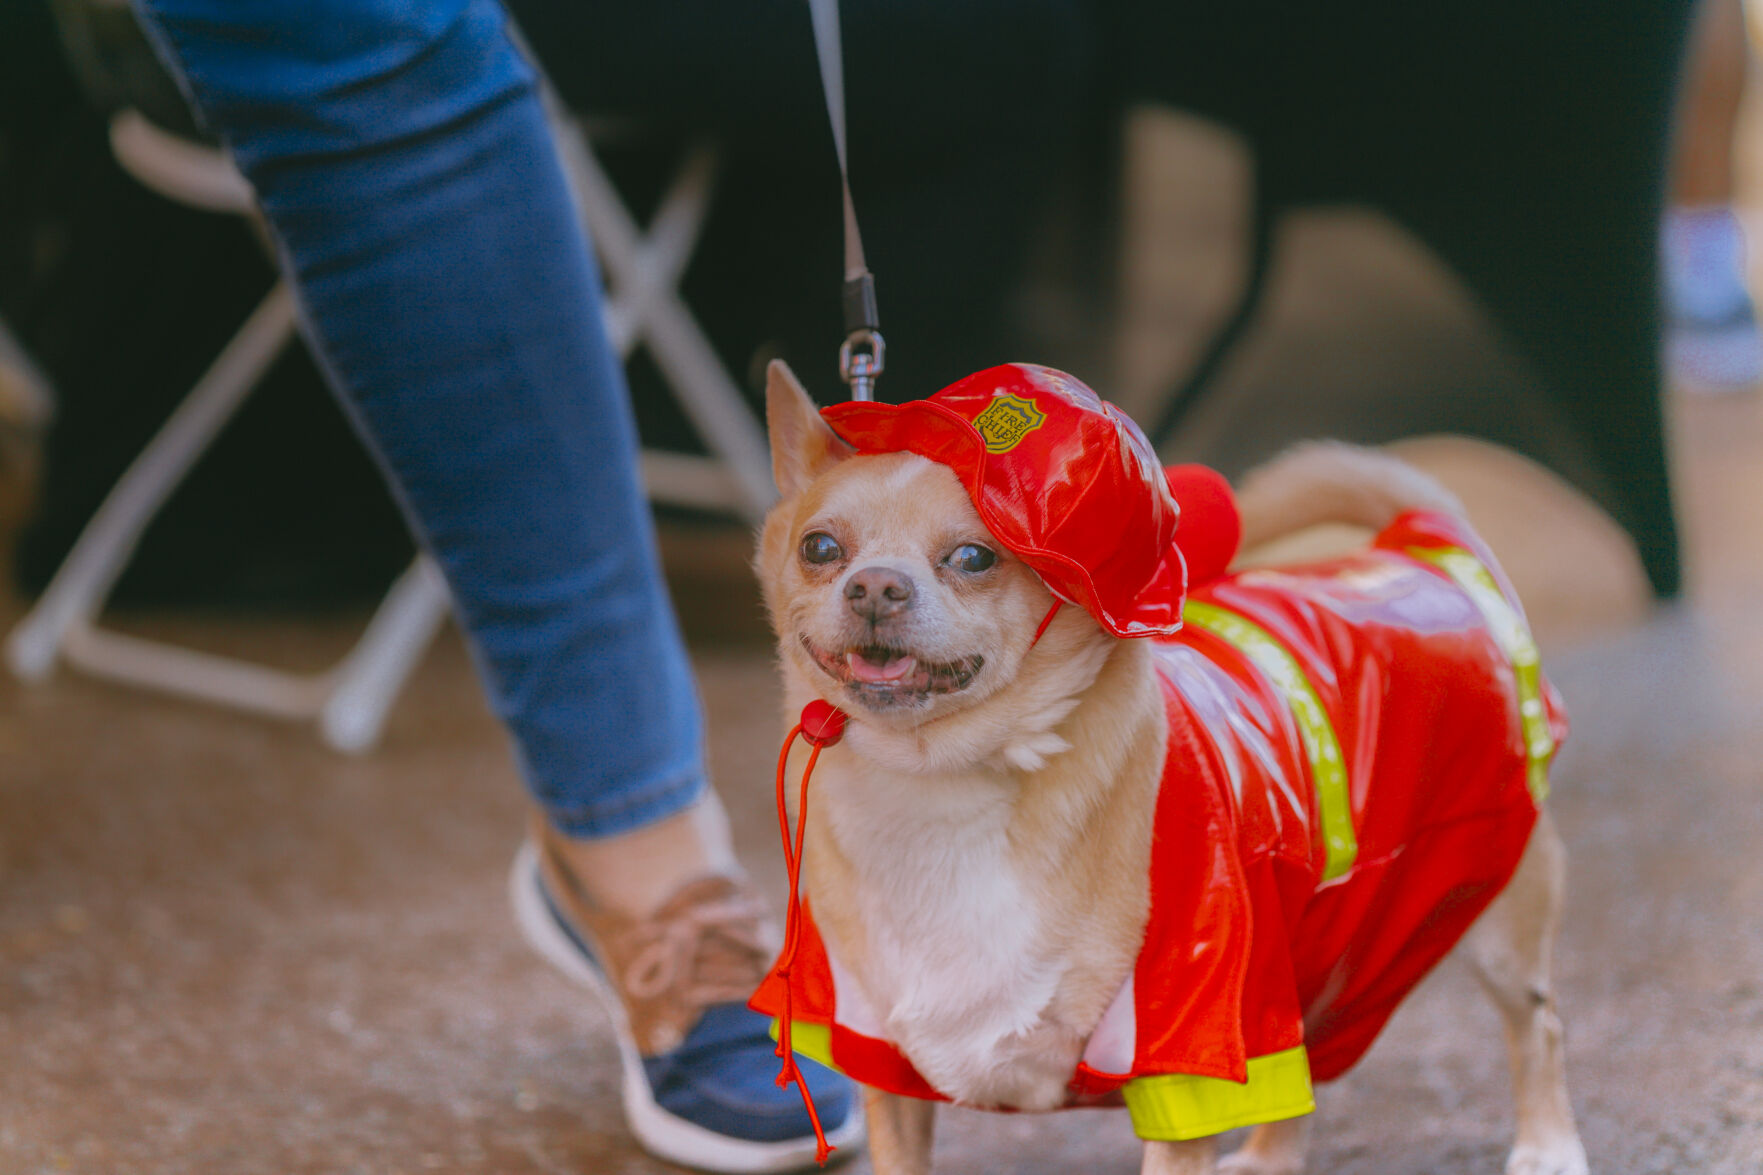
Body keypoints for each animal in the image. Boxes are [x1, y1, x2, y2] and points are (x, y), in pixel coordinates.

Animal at [751, 359, 1593, 1171]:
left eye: (973, 556)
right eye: (819, 548)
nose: (874, 585)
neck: (935, 788)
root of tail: (1415, 548)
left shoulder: (1186, 1063)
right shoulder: (879, 1061)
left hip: (1493, 915)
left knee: (1539, 1026)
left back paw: (1548, 1145)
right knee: (1300, 1067)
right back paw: (1269, 1159)